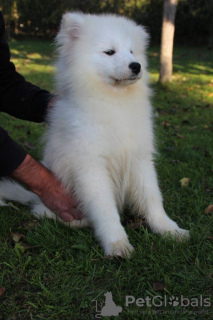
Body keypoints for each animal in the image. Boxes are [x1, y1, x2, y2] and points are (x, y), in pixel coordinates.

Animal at [0, 11, 190, 258]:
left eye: (132, 51)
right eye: (109, 52)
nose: (136, 66)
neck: (114, 101)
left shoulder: (140, 158)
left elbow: (153, 197)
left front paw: (169, 230)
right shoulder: (91, 166)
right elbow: (104, 208)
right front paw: (116, 243)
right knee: (42, 213)